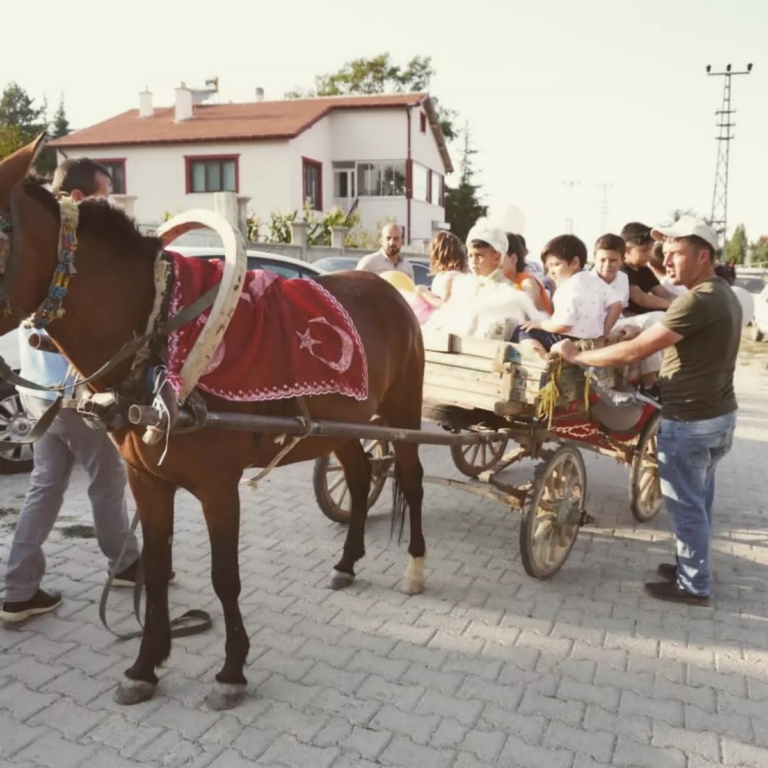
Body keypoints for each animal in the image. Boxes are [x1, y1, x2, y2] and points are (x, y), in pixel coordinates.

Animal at [0, 136, 426, 708]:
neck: (160, 332)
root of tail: (387, 288)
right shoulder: (148, 480)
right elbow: (157, 571)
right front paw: (146, 665)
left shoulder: (219, 487)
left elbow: (225, 576)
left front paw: (231, 671)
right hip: (343, 423)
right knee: (359, 478)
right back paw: (346, 562)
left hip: (402, 414)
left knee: (413, 480)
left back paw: (415, 567)